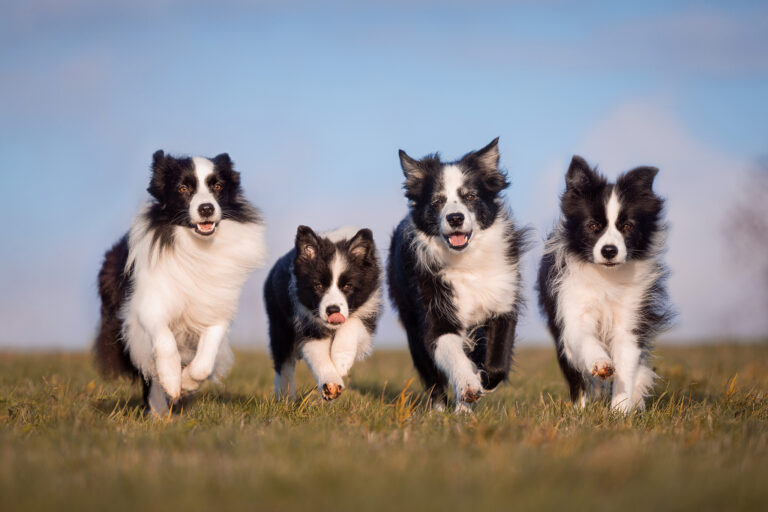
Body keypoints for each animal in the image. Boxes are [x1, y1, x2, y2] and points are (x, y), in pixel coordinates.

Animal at [95, 151, 268, 416]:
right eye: (183, 188)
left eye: (217, 186)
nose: (206, 208)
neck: (196, 248)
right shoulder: (147, 305)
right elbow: (164, 342)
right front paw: (172, 381)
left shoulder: (217, 308)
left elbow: (205, 359)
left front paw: (186, 384)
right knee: (149, 371)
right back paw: (158, 411)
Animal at [266, 225, 382, 400]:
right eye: (318, 285)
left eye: (348, 286)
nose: (332, 310)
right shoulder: (307, 323)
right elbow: (317, 354)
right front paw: (330, 382)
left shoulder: (368, 311)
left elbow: (353, 323)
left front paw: (341, 360)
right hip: (279, 324)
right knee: (283, 363)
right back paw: (286, 395)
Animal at [390, 139, 528, 412]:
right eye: (437, 201)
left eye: (470, 196)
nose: (455, 217)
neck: (466, 262)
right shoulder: (435, 314)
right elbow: (452, 354)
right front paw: (468, 385)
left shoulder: (503, 303)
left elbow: (496, 362)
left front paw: (483, 380)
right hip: (411, 322)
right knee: (431, 376)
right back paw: (441, 409)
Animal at [536, 155, 672, 412]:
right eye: (593, 226)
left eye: (627, 226)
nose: (609, 250)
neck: (606, 276)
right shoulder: (573, 307)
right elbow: (584, 339)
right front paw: (600, 364)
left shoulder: (629, 318)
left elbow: (627, 363)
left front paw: (621, 409)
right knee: (576, 375)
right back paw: (580, 408)